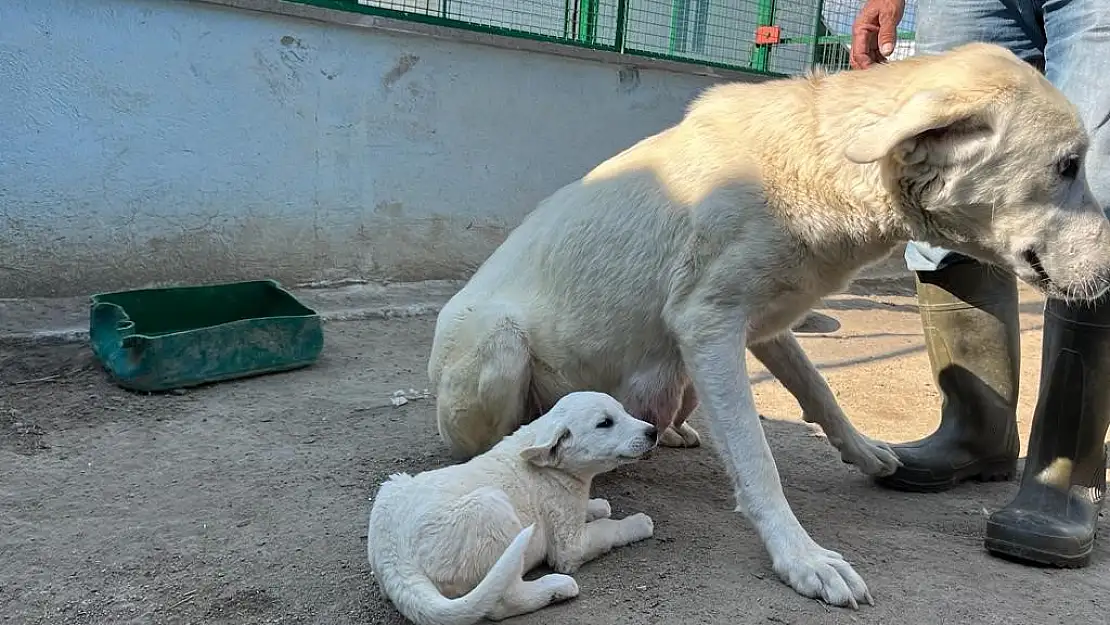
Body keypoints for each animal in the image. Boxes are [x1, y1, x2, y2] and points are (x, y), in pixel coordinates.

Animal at [364, 390, 657, 625]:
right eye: (605, 423)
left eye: (622, 411)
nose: (653, 431)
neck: (552, 466)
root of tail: (395, 558)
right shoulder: (570, 546)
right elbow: (607, 530)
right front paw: (638, 523)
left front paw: (597, 506)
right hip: (491, 508)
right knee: (504, 601)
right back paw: (556, 588)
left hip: (393, 485)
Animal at [421, 42, 1110, 608]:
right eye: (1068, 165)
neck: (822, 164)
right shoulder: (709, 326)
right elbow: (758, 461)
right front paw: (803, 558)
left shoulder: (763, 325)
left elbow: (818, 388)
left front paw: (864, 452)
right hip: (500, 346)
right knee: (493, 440)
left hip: (681, 379)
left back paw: (672, 433)